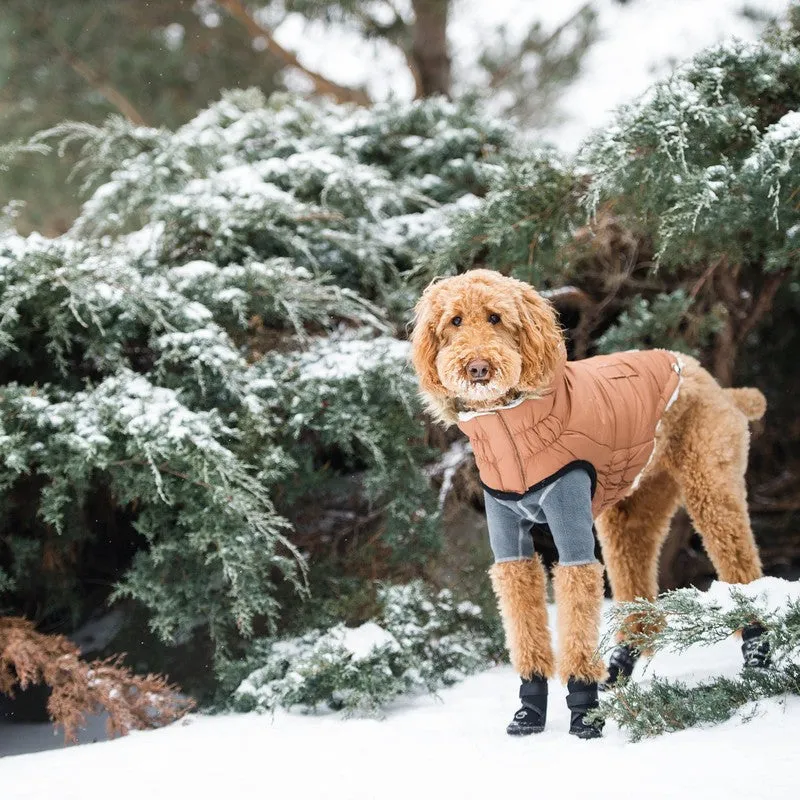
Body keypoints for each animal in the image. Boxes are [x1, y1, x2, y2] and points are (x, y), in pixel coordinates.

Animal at [412, 268, 768, 736]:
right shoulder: (510, 544)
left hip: (711, 487)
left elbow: (577, 610)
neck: (511, 428)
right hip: (630, 512)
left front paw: (583, 709)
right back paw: (617, 667)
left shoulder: (572, 535)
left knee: (743, 570)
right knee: (640, 597)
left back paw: (758, 657)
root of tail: (712, 382)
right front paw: (530, 709)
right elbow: (524, 619)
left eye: (495, 318)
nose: (477, 367)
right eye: (454, 321)